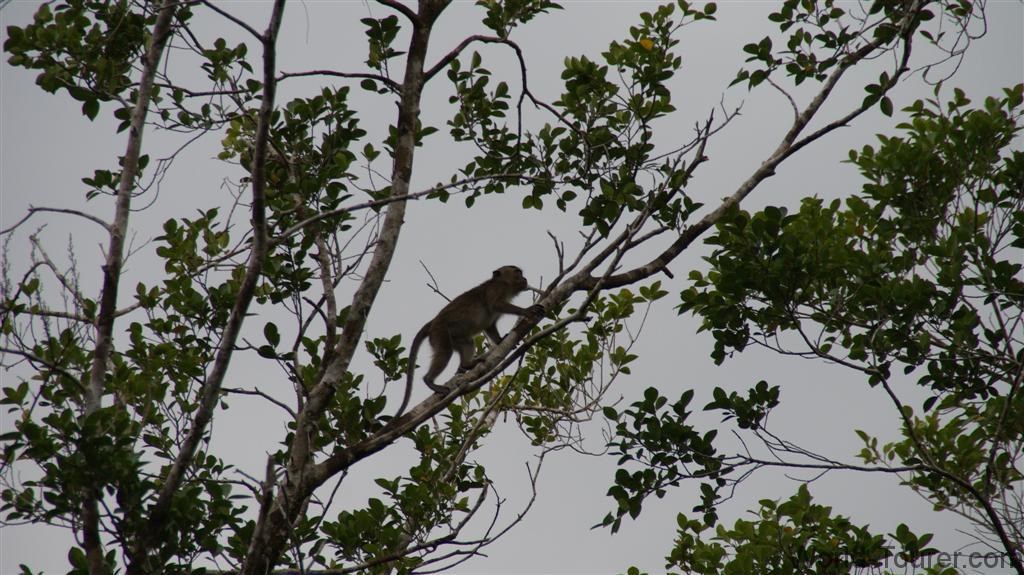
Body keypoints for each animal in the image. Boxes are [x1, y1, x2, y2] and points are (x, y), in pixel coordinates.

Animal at [394, 265, 544, 419]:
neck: (504, 284)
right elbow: (496, 305)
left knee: (467, 343)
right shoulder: (496, 289)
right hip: (440, 333)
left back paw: (467, 364)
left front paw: (500, 340)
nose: (524, 278)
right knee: (445, 352)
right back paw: (430, 381)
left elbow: (489, 325)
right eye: (517, 272)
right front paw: (527, 310)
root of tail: (432, 323)